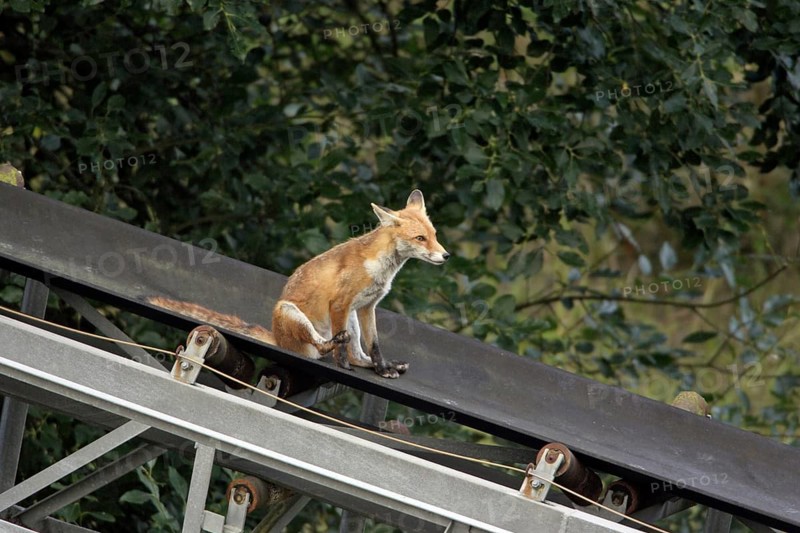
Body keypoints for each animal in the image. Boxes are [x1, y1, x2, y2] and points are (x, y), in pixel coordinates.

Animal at [148, 189, 448, 379]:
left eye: (434, 235)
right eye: (420, 238)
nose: (446, 256)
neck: (381, 269)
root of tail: (277, 338)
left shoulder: (367, 307)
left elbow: (374, 346)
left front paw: (383, 368)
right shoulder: (340, 303)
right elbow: (342, 353)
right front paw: (343, 367)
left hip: (350, 317)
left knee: (356, 353)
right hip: (292, 312)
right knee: (325, 346)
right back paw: (330, 348)